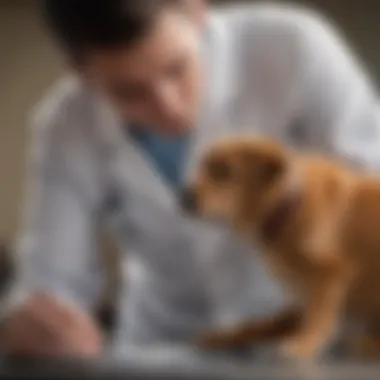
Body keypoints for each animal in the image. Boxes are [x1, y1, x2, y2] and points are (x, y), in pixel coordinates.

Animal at [183, 136, 380, 360]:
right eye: (202, 166)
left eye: (225, 171)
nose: (183, 197)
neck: (289, 207)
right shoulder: (301, 295)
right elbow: (264, 323)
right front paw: (225, 336)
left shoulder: (329, 275)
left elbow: (319, 317)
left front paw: (303, 344)